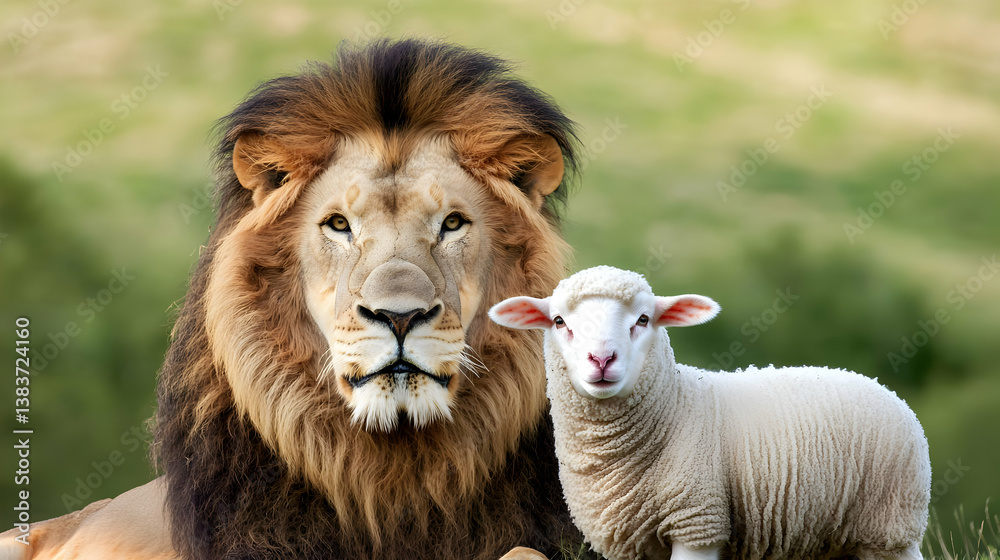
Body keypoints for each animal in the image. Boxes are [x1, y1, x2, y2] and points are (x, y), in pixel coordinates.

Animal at [489, 265, 930, 560]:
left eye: (643, 319)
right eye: (559, 321)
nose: (601, 359)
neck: (674, 409)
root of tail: (880, 385)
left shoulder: (699, 524)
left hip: (890, 526)